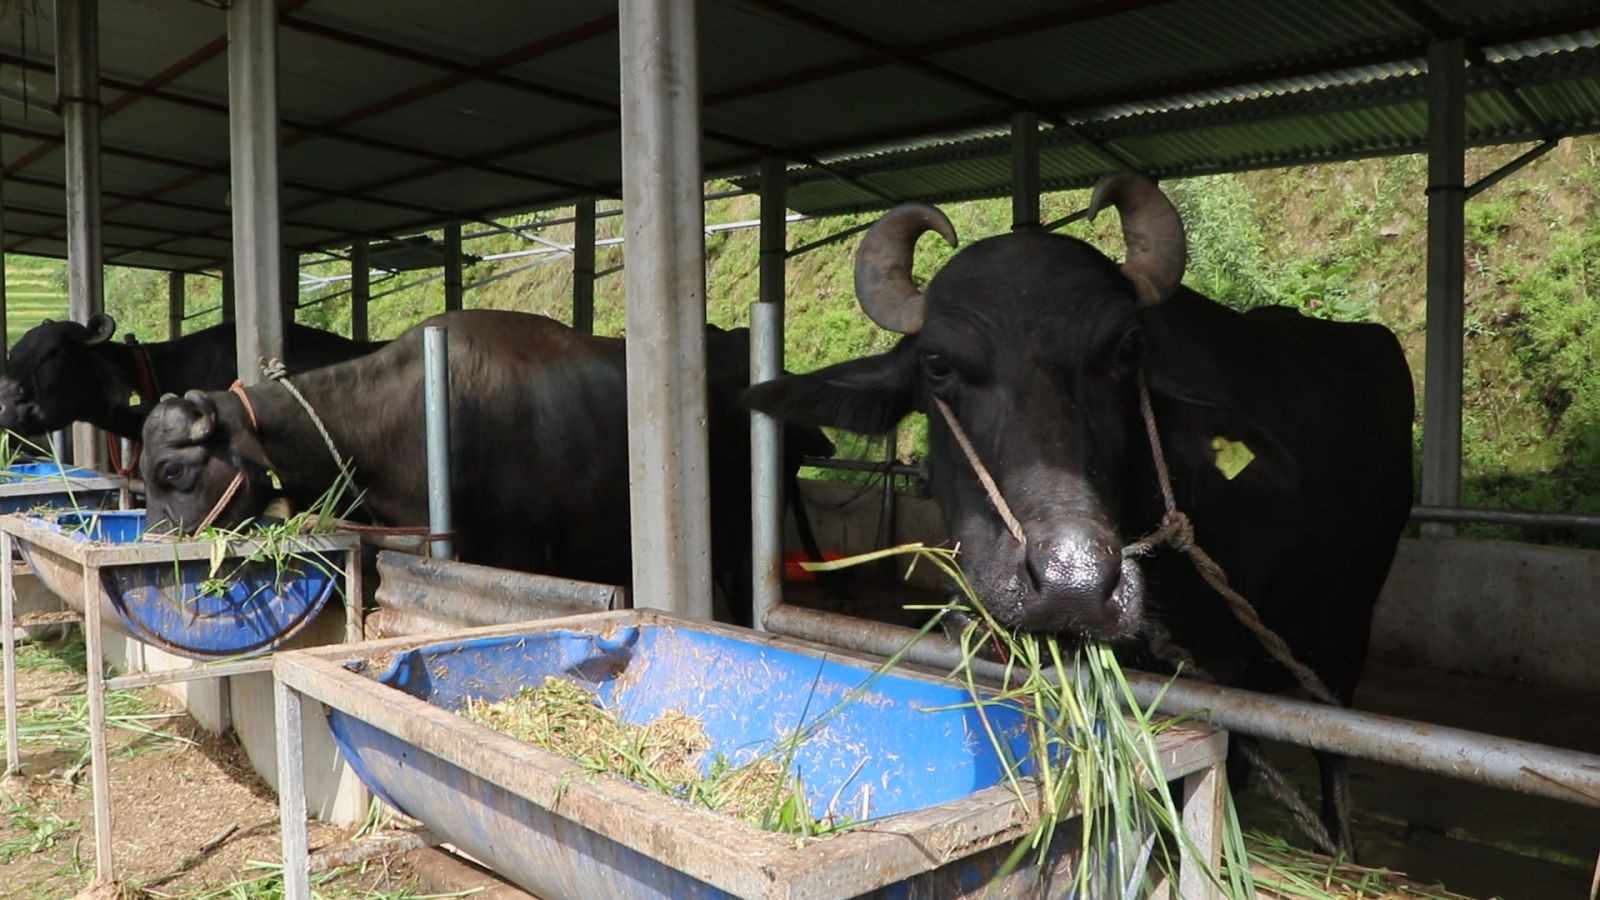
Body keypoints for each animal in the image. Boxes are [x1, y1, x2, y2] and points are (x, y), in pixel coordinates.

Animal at [739, 171, 1414, 845]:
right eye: (936, 364)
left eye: (1129, 348)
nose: (1074, 585)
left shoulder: (1221, 661)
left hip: (1345, 627)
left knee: (1332, 744)